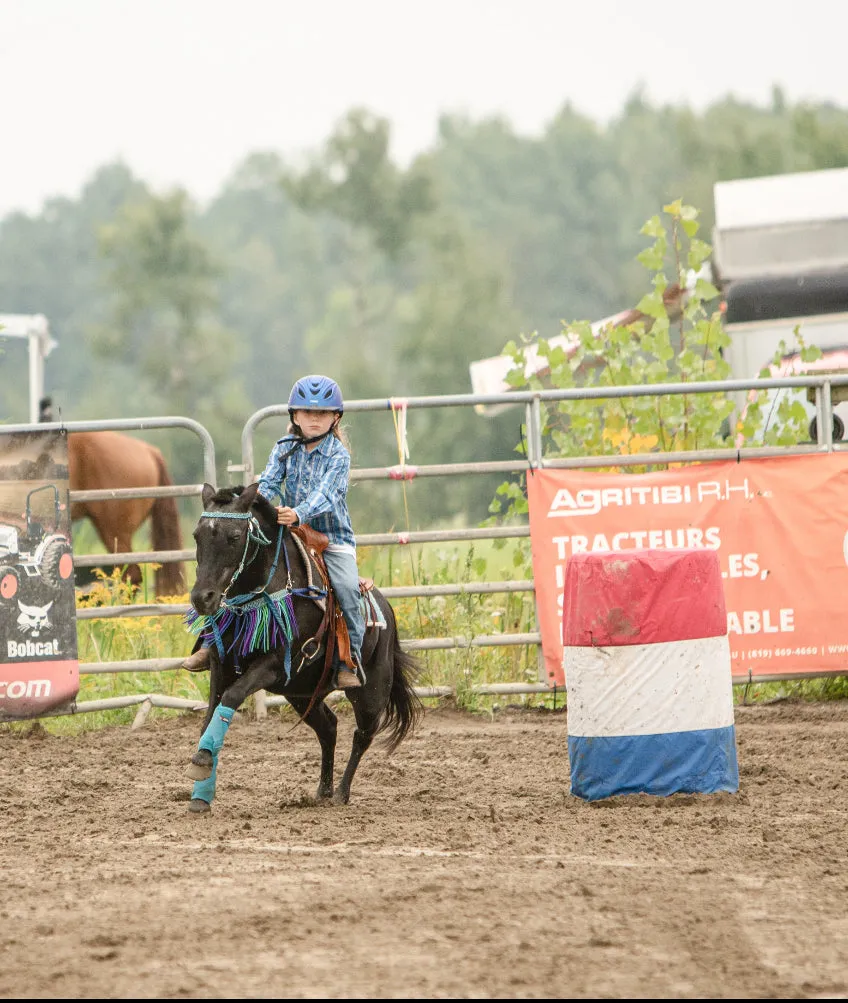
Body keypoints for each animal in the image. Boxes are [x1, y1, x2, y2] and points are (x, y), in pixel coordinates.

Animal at [186, 483, 421, 814]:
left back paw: (341, 793)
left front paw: (203, 760)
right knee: (329, 728)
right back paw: (323, 790)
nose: (201, 598)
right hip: (301, 693)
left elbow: (231, 697)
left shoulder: (273, 665)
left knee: (363, 735)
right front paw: (201, 791)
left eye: (234, 536)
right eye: (197, 535)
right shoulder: (222, 662)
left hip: (370, 693)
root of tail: (386, 609)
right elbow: (210, 714)